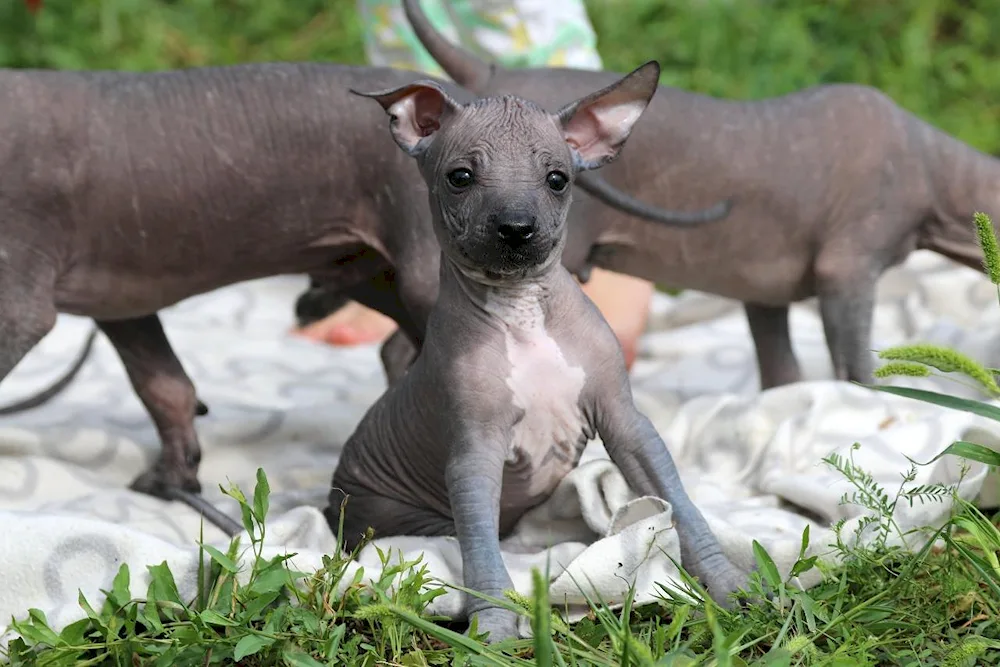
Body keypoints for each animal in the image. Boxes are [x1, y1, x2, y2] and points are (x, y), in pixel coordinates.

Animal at [328, 61, 752, 640]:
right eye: (460, 177)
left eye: (558, 180)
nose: (516, 229)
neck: (522, 307)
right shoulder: (474, 454)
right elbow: (479, 548)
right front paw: (493, 627)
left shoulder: (627, 423)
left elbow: (681, 506)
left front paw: (728, 583)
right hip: (396, 516)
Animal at [356, 0, 1000, 388]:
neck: (934, 163)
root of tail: (489, 76)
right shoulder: (848, 267)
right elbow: (857, 369)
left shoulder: (762, 286)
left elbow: (782, 370)